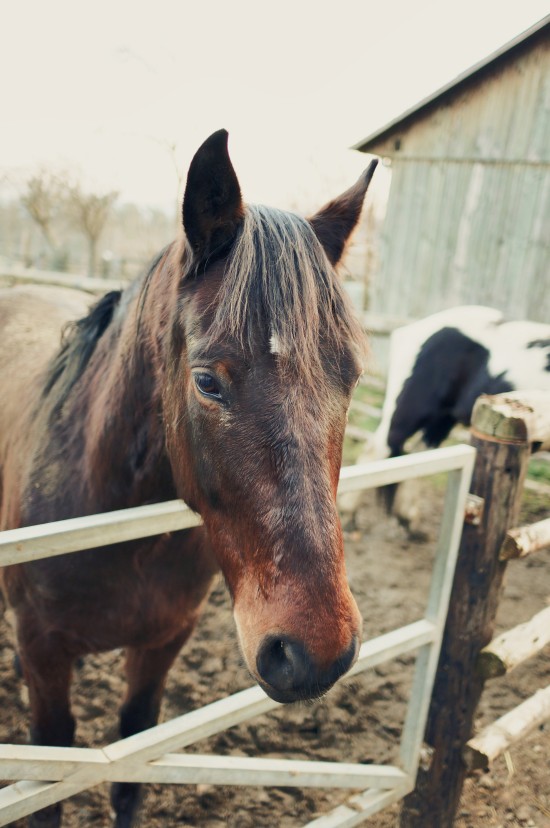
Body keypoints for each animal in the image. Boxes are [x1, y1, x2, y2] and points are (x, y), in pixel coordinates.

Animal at [0, 131, 380, 828]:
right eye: (207, 381)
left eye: (353, 376)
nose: (315, 652)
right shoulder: (46, 658)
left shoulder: (162, 646)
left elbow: (130, 765)